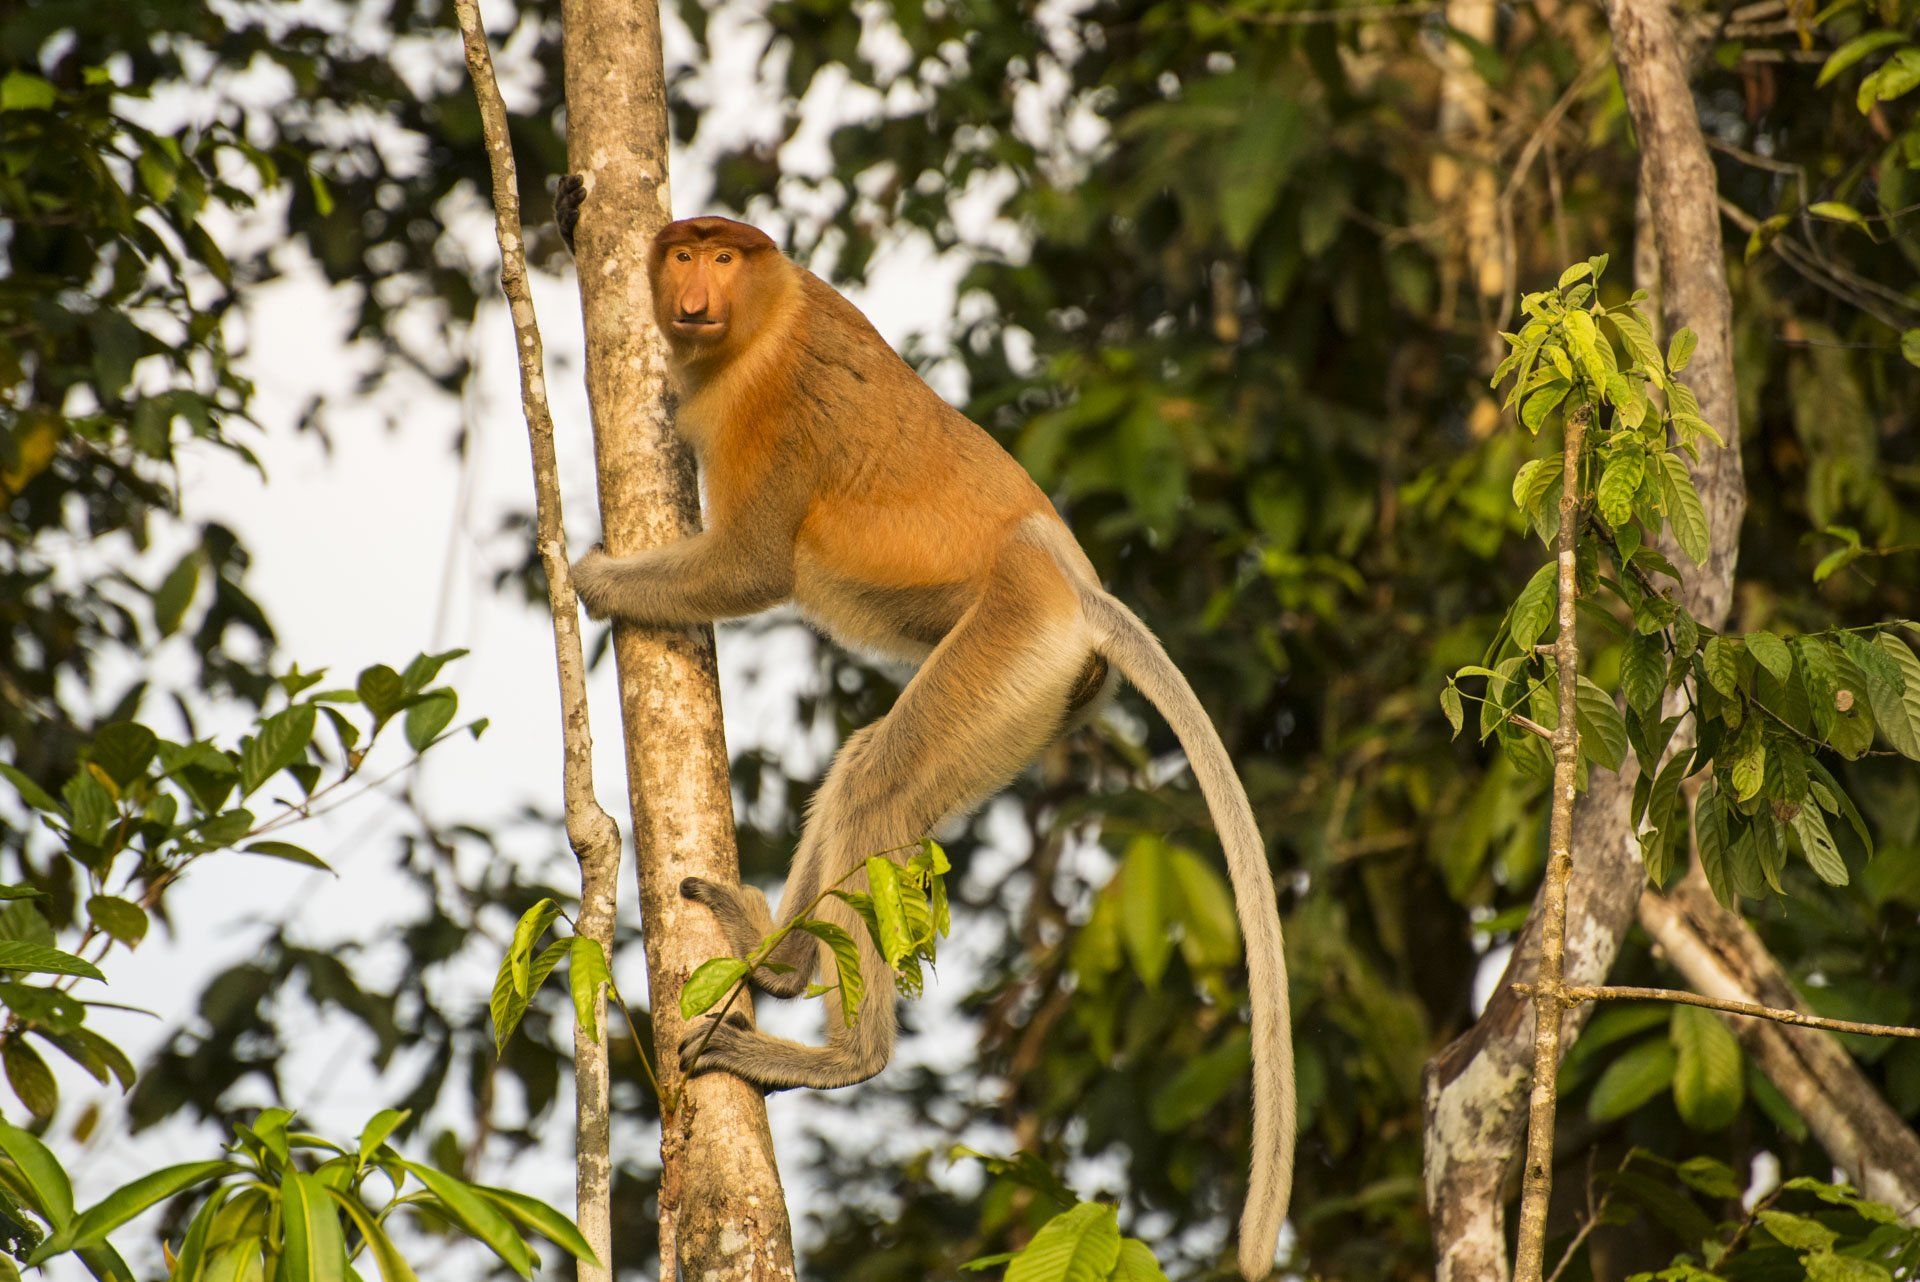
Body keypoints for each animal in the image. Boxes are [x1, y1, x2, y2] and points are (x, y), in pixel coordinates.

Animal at [560, 192, 1297, 1282]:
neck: (768, 316)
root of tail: (1074, 584)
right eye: (684, 252)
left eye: (726, 258)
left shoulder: (775, 410)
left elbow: (750, 564)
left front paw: (590, 577)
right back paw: (779, 964)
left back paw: (836, 1056)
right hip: (1029, 700)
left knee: (878, 789)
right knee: (863, 768)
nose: (694, 293)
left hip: (1008, 645)